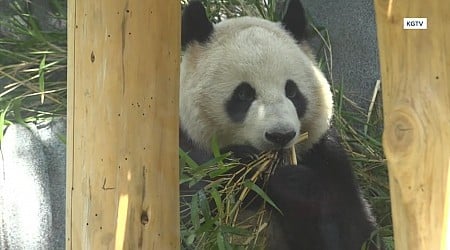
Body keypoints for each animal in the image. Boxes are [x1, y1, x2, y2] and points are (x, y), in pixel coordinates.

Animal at [179, 0, 384, 249]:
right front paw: (244, 162)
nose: (281, 135)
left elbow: (355, 231)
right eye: (244, 94)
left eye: (292, 91)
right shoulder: (188, 154)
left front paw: (292, 182)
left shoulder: (326, 154)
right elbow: (195, 209)